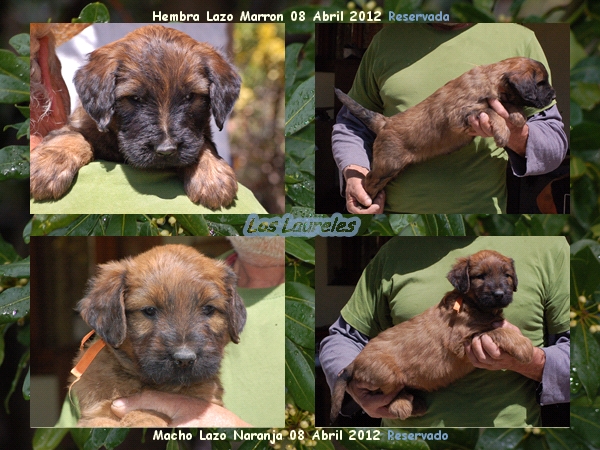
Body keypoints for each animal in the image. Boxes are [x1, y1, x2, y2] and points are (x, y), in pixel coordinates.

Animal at [29, 23, 241, 208]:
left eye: (190, 96)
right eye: (135, 98)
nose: (166, 150)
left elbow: (203, 144)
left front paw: (212, 174)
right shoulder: (82, 124)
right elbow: (70, 136)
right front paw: (48, 165)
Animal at [330, 250, 532, 422]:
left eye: (507, 275)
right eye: (480, 276)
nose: (499, 294)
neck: (472, 304)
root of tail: (354, 362)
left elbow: (495, 329)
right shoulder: (461, 341)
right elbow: (495, 330)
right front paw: (524, 347)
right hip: (387, 373)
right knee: (390, 393)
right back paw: (402, 404)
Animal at [336, 56, 556, 202]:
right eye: (540, 83)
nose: (553, 95)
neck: (492, 80)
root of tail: (385, 122)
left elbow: (503, 106)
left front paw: (517, 116)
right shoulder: (461, 113)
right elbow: (490, 110)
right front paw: (503, 131)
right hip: (387, 165)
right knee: (367, 181)